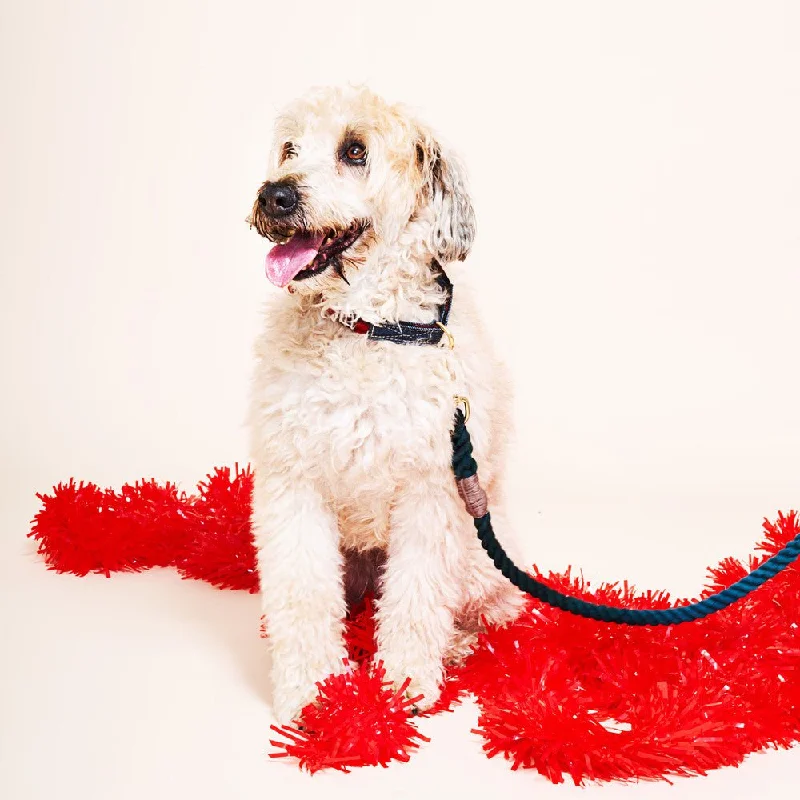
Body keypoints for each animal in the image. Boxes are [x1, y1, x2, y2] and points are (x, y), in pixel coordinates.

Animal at [250, 84, 524, 720]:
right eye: (289, 148)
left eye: (355, 150)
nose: (275, 195)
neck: (363, 329)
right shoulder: (291, 484)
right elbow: (301, 591)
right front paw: (310, 688)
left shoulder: (432, 493)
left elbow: (418, 595)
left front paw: (404, 682)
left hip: (478, 545)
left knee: (494, 604)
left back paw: (460, 643)